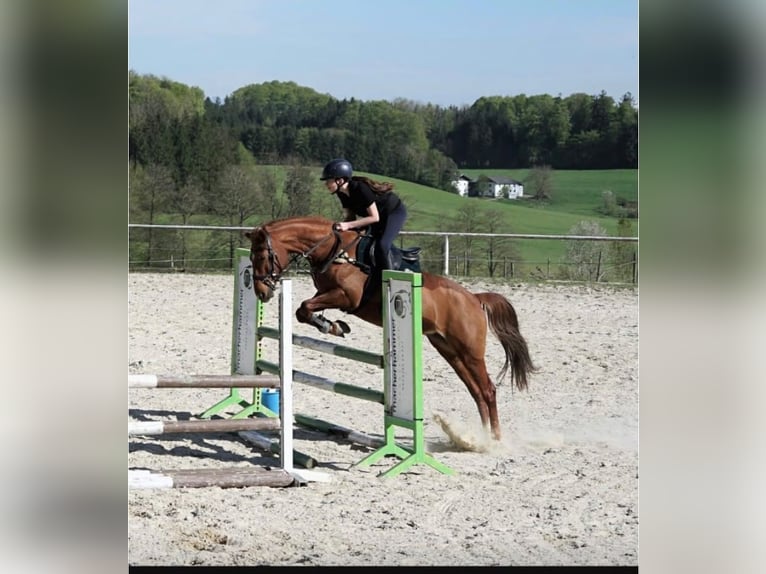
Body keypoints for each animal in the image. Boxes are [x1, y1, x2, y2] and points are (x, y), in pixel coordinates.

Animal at [245, 215, 537, 441]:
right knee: (476, 391)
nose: (261, 292)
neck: (334, 251)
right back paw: (480, 438)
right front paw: (334, 325)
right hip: (449, 350)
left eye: (263, 255)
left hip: (470, 351)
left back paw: (494, 440)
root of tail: (474, 299)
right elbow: (303, 310)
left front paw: (334, 327)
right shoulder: (326, 293)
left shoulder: (346, 297)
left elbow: (304, 307)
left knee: (487, 390)